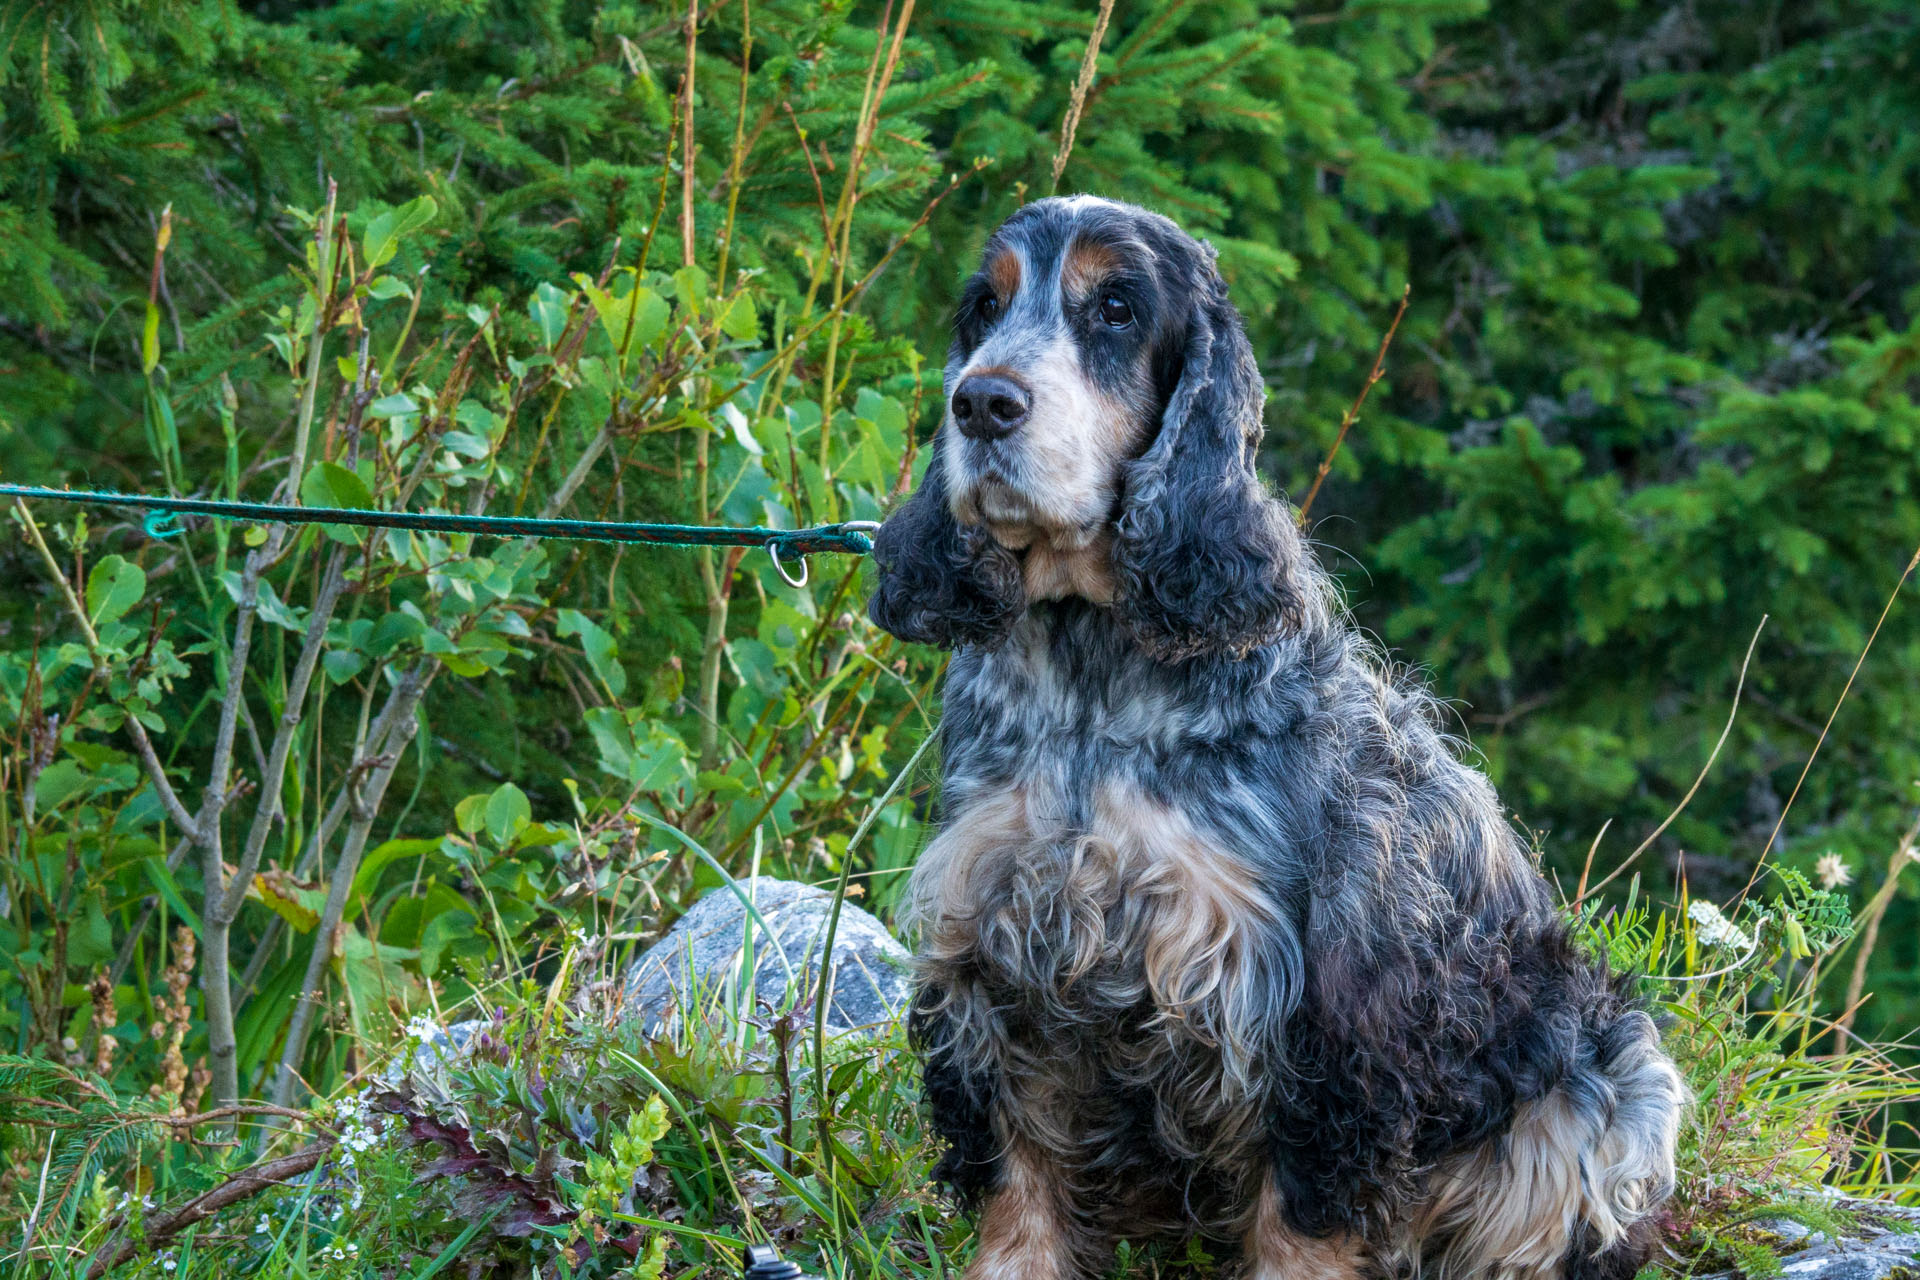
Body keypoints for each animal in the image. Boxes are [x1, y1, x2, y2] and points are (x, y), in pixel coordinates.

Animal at [860, 197, 1681, 1280]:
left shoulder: (1319, 1014)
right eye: (983, 307)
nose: (981, 403)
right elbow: (1016, 1188)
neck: (1091, 681)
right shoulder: (993, 958)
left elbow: (1303, 1212)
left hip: (1613, 1081)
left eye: (1116, 308)